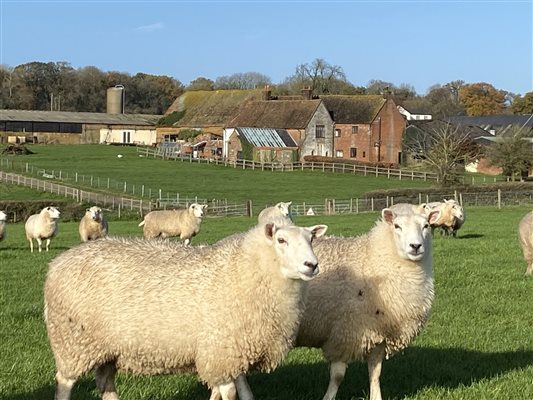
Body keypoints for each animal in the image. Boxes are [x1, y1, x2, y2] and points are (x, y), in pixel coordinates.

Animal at [44, 222, 328, 400]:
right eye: (281, 240)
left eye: (311, 239)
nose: (312, 265)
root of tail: (56, 264)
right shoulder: (219, 350)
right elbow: (229, 393)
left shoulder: (234, 351)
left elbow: (243, 393)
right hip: (72, 342)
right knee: (64, 384)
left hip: (107, 348)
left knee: (105, 383)